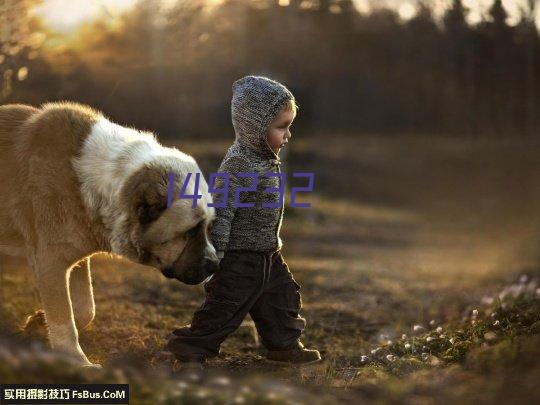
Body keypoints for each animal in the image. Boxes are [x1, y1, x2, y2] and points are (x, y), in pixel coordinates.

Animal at [0, 102, 219, 366]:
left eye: (208, 227)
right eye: (190, 232)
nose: (215, 264)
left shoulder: (74, 257)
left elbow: (84, 308)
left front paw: (40, 322)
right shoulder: (49, 261)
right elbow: (64, 318)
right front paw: (77, 361)